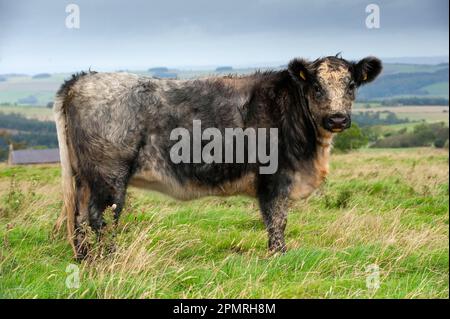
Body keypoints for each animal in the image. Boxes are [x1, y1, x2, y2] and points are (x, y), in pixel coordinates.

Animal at [54, 55, 382, 260]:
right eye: (316, 86)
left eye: (351, 85)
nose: (337, 119)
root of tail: (82, 79)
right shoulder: (274, 178)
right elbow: (276, 221)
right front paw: (279, 256)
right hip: (108, 176)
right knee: (101, 219)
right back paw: (110, 258)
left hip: (84, 178)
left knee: (78, 217)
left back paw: (85, 258)